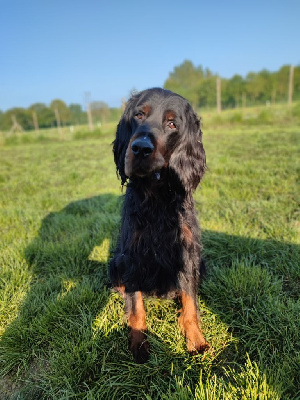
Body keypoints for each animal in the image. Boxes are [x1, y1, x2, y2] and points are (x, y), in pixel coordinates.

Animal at [109, 87, 210, 362]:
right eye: (138, 115)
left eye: (172, 123)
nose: (140, 148)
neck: (156, 196)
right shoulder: (131, 256)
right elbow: (136, 306)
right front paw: (138, 342)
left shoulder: (187, 252)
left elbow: (190, 302)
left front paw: (195, 339)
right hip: (115, 262)